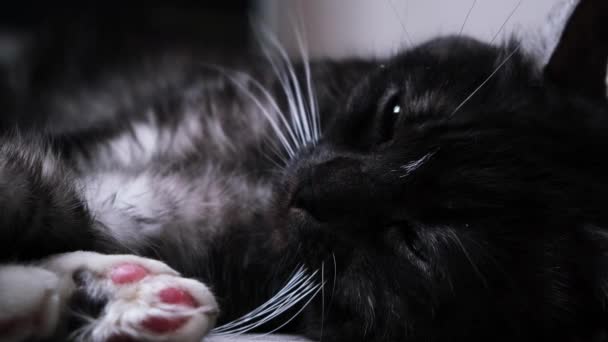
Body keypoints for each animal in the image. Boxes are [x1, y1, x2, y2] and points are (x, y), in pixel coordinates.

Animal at [1, 0, 608, 340]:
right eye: (391, 116)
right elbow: (27, 179)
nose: (308, 191)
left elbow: (51, 201)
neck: (250, 181)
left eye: (417, 243)